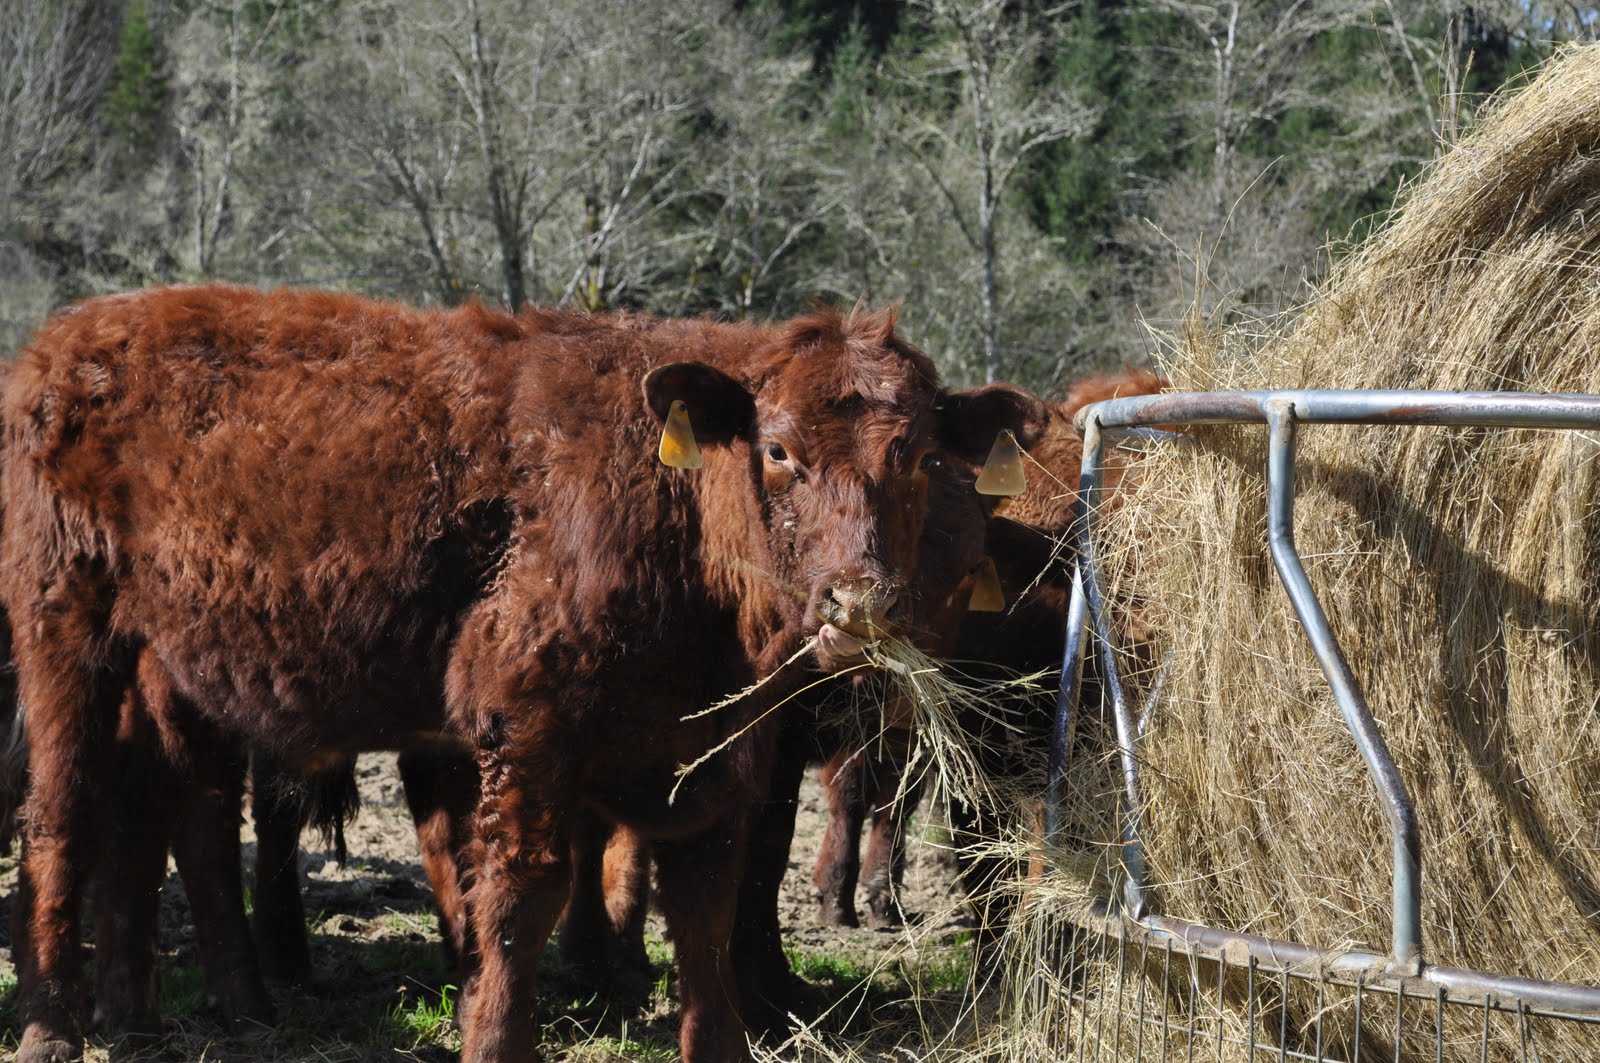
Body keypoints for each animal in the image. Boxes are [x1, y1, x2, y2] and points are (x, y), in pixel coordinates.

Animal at [1, 285, 1042, 1063]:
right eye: (778, 450)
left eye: (918, 458)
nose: (859, 602)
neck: (666, 503)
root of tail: (62, 341)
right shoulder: (528, 725)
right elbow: (520, 896)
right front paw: (496, 1035)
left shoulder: (710, 756)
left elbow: (705, 903)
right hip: (62, 633)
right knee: (62, 817)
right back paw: (54, 1027)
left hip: (168, 679)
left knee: (169, 822)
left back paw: (171, 1016)